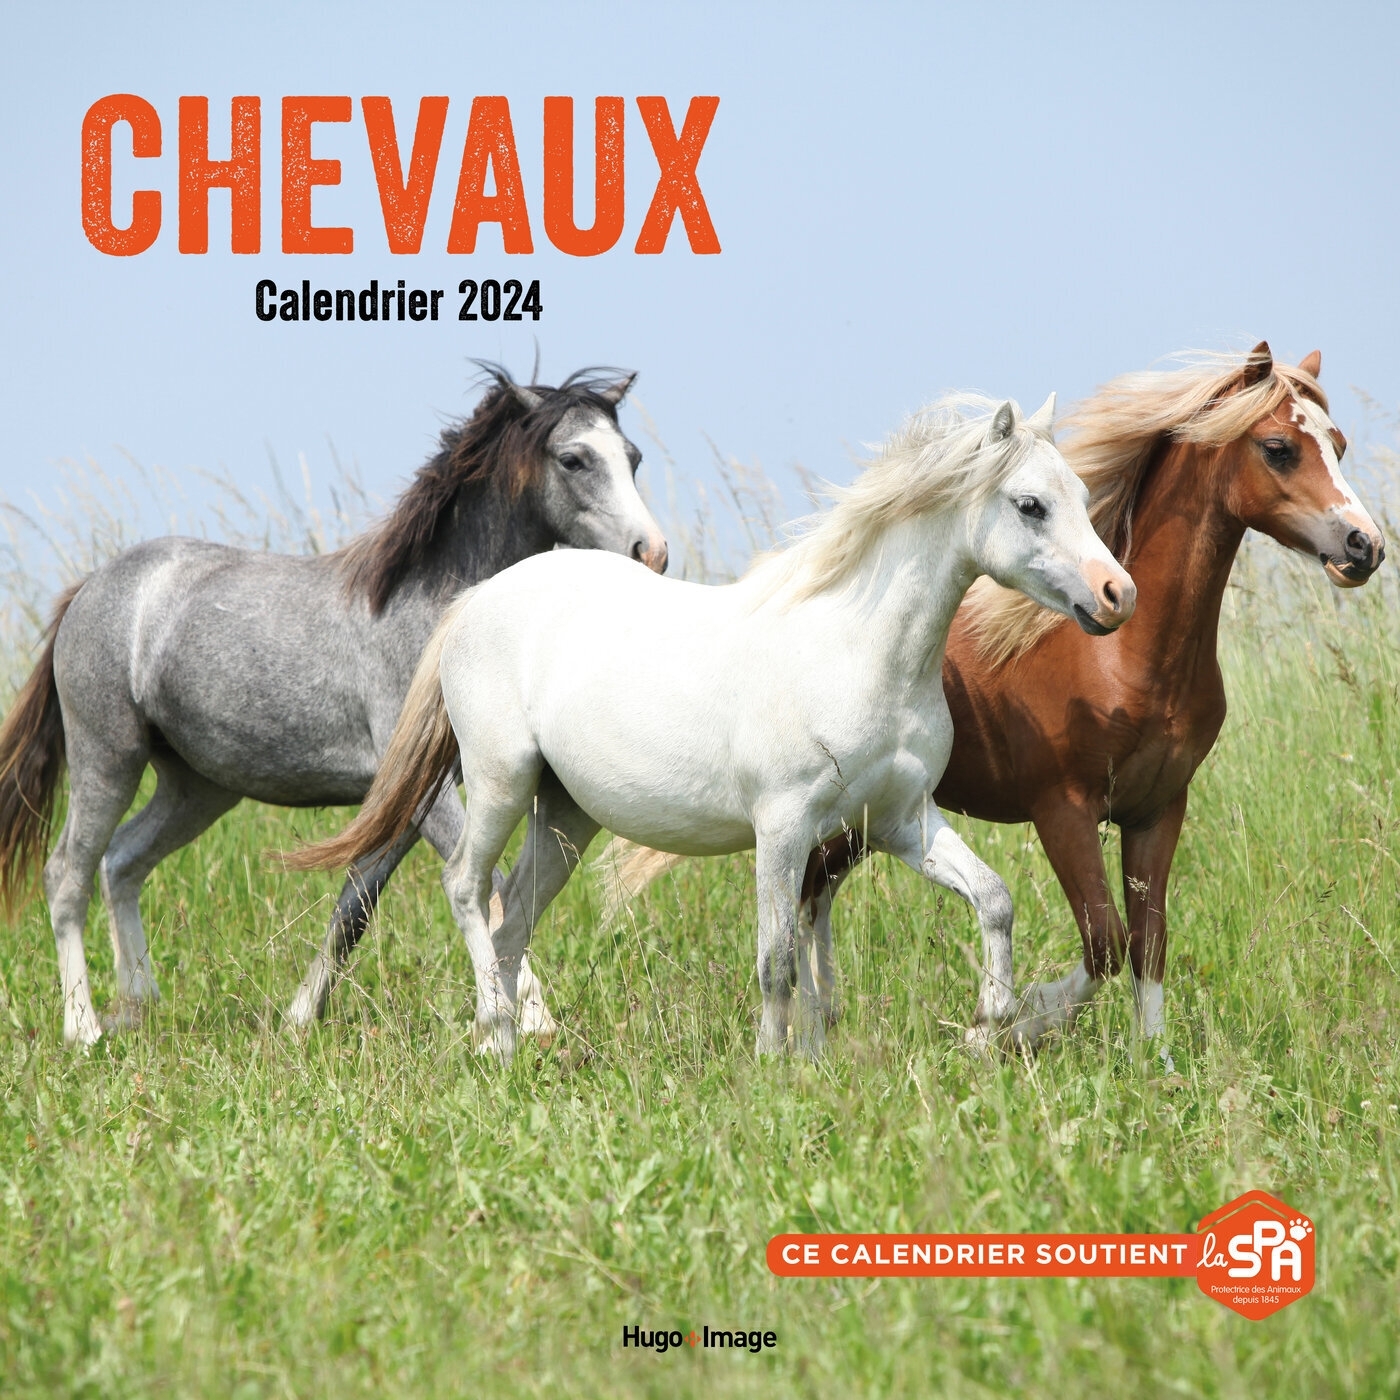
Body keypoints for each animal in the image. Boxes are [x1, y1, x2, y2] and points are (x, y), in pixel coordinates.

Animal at [0, 365, 668, 1047]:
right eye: (574, 459)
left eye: (633, 457)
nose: (653, 552)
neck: (432, 614)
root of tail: (90, 588)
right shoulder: (431, 798)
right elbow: (490, 889)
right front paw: (532, 1020)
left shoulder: (405, 799)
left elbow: (355, 910)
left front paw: (299, 1018)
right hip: (108, 759)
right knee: (68, 874)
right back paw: (84, 1028)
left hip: (197, 788)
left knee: (122, 864)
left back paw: (139, 1006)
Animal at [287, 393, 1136, 1062]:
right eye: (1030, 504)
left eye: (1080, 492)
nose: (1117, 594)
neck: (857, 647)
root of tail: (475, 601)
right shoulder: (785, 826)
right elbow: (776, 958)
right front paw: (773, 1066)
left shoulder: (899, 820)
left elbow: (993, 898)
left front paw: (993, 1018)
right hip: (500, 783)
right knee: (467, 888)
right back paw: (495, 1033)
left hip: (565, 816)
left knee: (510, 920)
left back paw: (501, 1045)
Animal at [606, 344, 1385, 1068]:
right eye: (1279, 447)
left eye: (1340, 444)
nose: (1364, 547)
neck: (1127, 662)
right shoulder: (1063, 811)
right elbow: (1105, 941)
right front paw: (1006, 1028)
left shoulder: (1158, 810)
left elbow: (1149, 941)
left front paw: (1154, 1060)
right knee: (805, 902)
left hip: (859, 821)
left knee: (812, 899)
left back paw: (820, 1037)